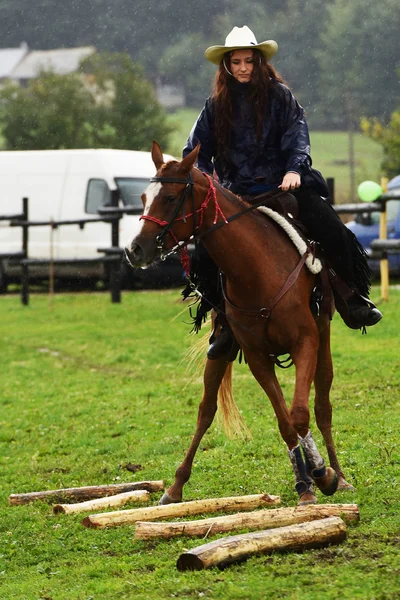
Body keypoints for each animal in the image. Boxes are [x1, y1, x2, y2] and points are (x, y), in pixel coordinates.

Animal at [125, 143, 354, 504]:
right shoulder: (258, 357)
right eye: (144, 197)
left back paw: (339, 475)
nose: (134, 250)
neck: (257, 269)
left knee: (322, 405)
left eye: (171, 197)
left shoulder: (306, 342)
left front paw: (323, 473)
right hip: (221, 350)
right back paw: (175, 488)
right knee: (206, 411)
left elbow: (300, 414)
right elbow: (285, 421)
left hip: (324, 336)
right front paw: (306, 483)